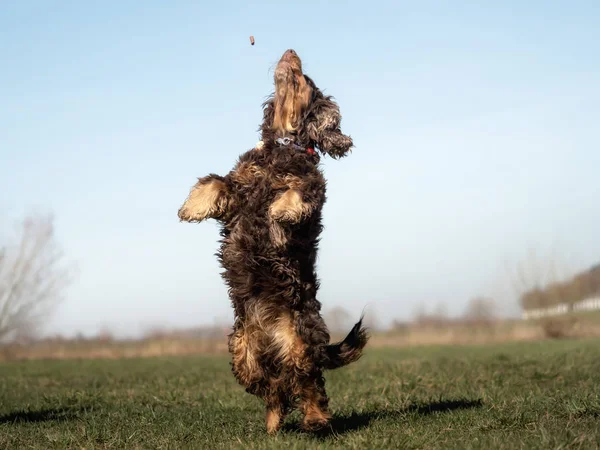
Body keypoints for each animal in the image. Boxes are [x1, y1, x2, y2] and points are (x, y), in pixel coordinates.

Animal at [176, 48, 368, 432]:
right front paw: (190, 207)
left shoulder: (311, 190)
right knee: (274, 388)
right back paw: (273, 424)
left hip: (300, 343)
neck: (282, 147)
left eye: (305, 80)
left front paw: (279, 210)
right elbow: (215, 182)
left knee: (307, 383)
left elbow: (297, 192)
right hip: (241, 351)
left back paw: (315, 419)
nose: (290, 52)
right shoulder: (238, 189)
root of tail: (269, 334)